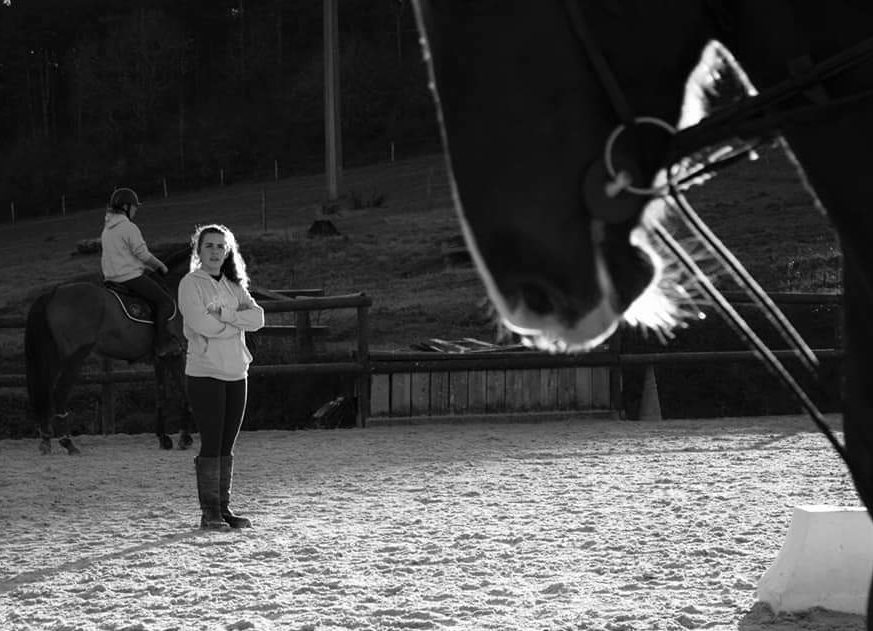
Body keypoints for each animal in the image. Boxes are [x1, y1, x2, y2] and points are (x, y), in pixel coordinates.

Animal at [25, 247, 192, 454]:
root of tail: (54, 293)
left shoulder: (161, 358)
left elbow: (162, 396)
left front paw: (164, 438)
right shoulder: (178, 354)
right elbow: (184, 392)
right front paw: (185, 438)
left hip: (53, 359)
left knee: (45, 392)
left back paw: (46, 440)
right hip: (75, 358)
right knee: (59, 393)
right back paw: (68, 442)